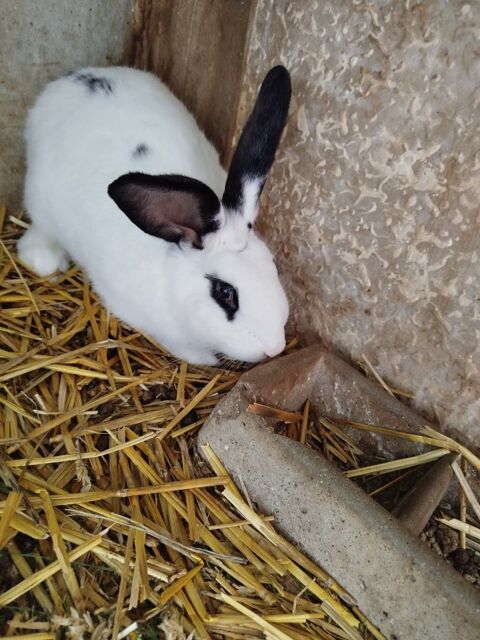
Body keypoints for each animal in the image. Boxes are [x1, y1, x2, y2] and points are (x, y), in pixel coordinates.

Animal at [17, 65, 291, 365]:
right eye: (225, 292)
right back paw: (45, 260)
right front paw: (207, 360)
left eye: (274, 265)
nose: (274, 347)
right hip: (39, 200)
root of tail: (71, 80)